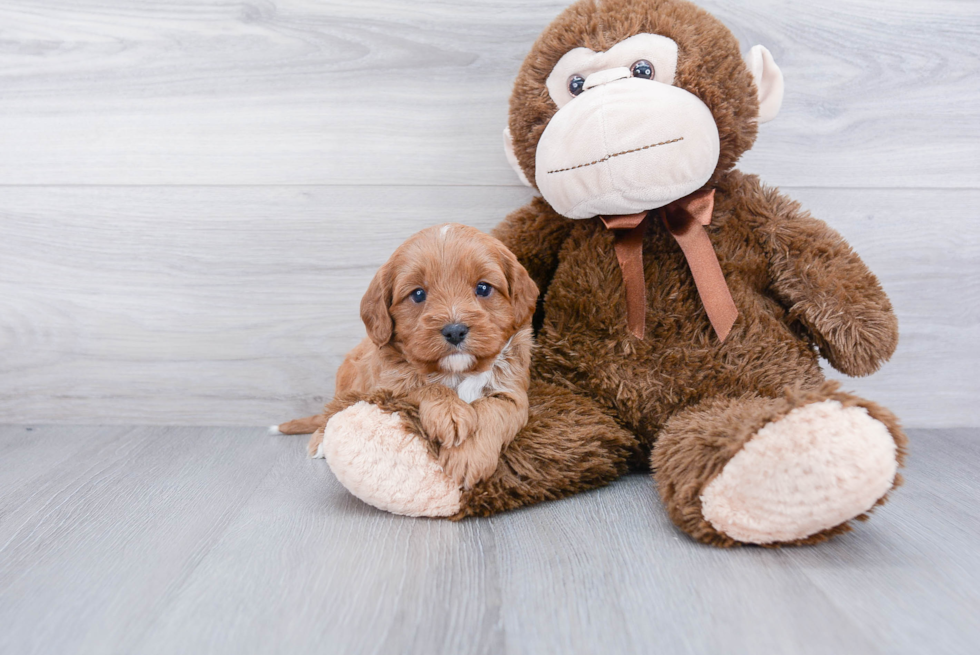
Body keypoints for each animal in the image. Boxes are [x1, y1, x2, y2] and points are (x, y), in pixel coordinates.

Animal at [276, 223, 540, 490]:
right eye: (418, 294)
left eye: (483, 288)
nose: (455, 330)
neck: (457, 372)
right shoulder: (389, 387)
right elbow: (425, 387)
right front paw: (450, 413)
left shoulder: (513, 393)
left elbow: (490, 408)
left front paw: (469, 456)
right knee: (332, 411)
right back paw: (319, 441)